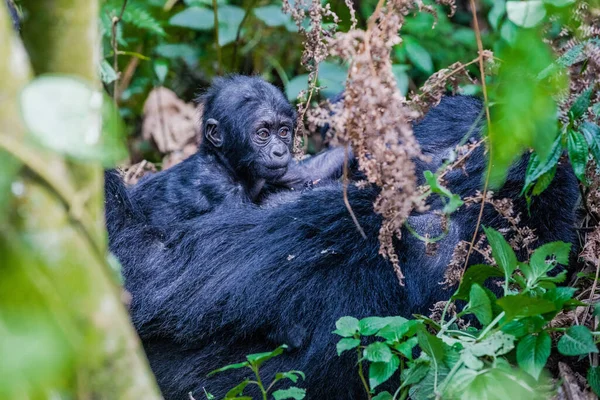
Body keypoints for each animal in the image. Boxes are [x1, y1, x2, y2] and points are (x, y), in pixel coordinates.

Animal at [131, 75, 346, 225]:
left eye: (284, 131)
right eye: (263, 133)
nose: (279, 151)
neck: (228, 164)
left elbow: (310, 172)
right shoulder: (220, 190)